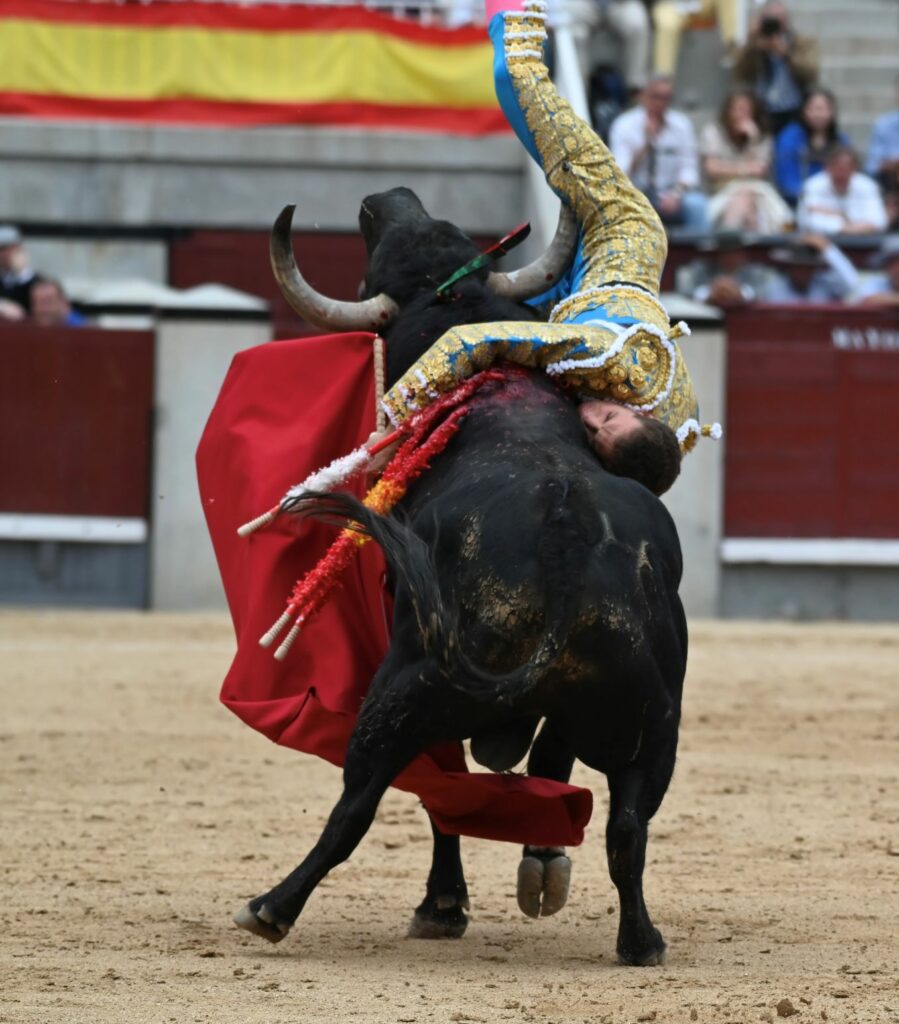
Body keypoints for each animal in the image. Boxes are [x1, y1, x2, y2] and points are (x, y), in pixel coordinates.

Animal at [233, 188, 688, 967]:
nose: (384, 199)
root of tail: (565, 542)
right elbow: (545, 768)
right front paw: (539, 867)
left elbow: (434, 797)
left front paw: (443, 904)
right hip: (653, 722)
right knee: (627, 824)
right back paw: (639, 939)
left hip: (405, 688)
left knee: (363, 800)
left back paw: (273, 906)